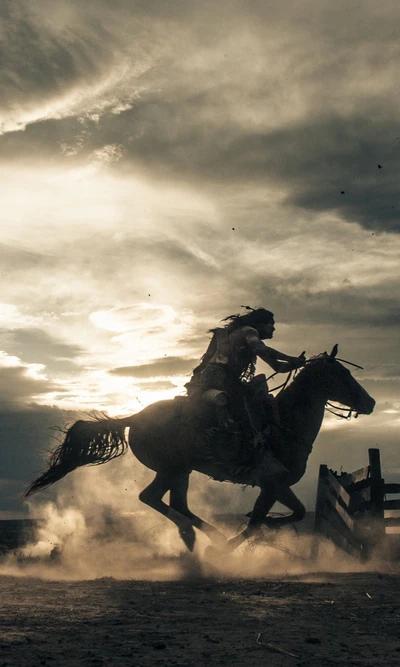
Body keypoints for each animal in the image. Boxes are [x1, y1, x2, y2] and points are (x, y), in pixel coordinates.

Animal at [24, 348, 376, 552]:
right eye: (343, 375)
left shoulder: (276, 486)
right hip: (173, 468)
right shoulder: (272, 483)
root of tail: (135, 417)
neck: (285, 424)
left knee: (171, 502)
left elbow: (289, 513)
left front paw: (261, 533)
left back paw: (195, 536)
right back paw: (204, 537)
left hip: (180, 471)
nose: (371, 402)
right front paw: (239, 542)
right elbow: (262, 518)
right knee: (155, 498)